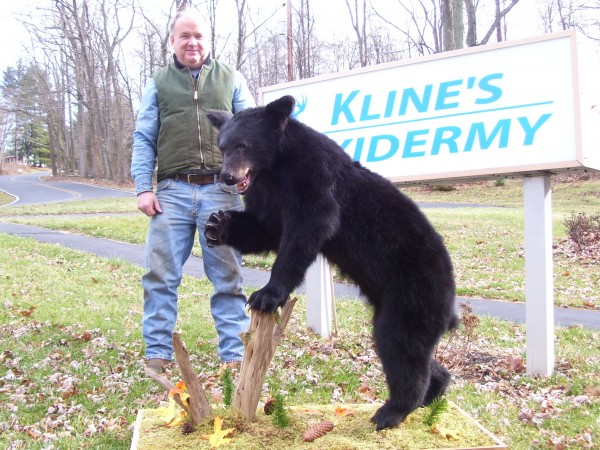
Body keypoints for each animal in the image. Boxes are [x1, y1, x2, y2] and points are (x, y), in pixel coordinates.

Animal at [204, 95, 458, 428]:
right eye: (222, 147)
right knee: (412, 351)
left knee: (400, 344)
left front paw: (267, 295)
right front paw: (218, 226)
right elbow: (266, 228)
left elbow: (309, 228)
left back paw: (392, 411)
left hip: (414, 292)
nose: (228, 177)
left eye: (243, 145)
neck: (275, 168)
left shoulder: (313, 177)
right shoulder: (267, 192)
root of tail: (451, 300)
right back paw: (434, 390)